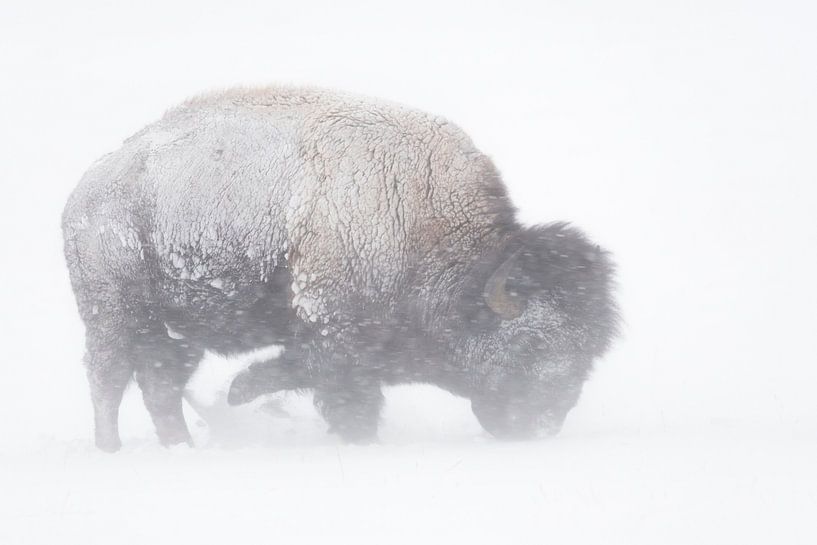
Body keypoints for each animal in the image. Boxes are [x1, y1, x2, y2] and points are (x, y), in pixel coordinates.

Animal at [62, 86, 612, 450]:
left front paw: (241, 391)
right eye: (533, 343)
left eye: (588, 353)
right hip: (114, 314)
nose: (541, 426)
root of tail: (87, 191)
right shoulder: (335, 330)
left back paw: (182, 447)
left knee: (159, 382)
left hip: (172, 329)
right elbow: (337, 387)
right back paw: (111, 448)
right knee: (108, 377)